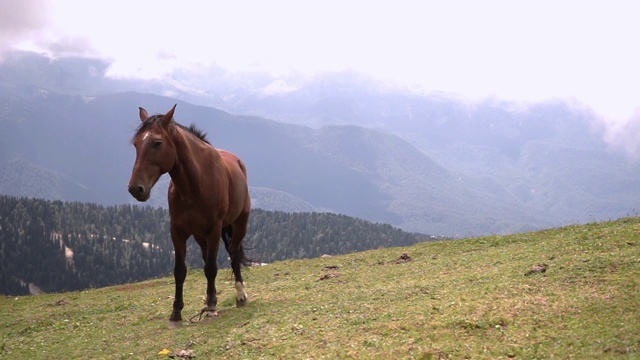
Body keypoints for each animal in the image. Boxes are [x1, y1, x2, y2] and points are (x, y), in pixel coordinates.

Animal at [127, 104, 250, 320]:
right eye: (136, 144)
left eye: (157, 143)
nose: (136, 188)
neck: (195, 184)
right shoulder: (177, 231)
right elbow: (180, 270)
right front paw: (176, 311)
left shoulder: (214, 228)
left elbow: (211, 268)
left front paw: (211, 307)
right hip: (201, 235)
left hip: (239, 223)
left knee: (234, 253)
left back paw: (240, 295)